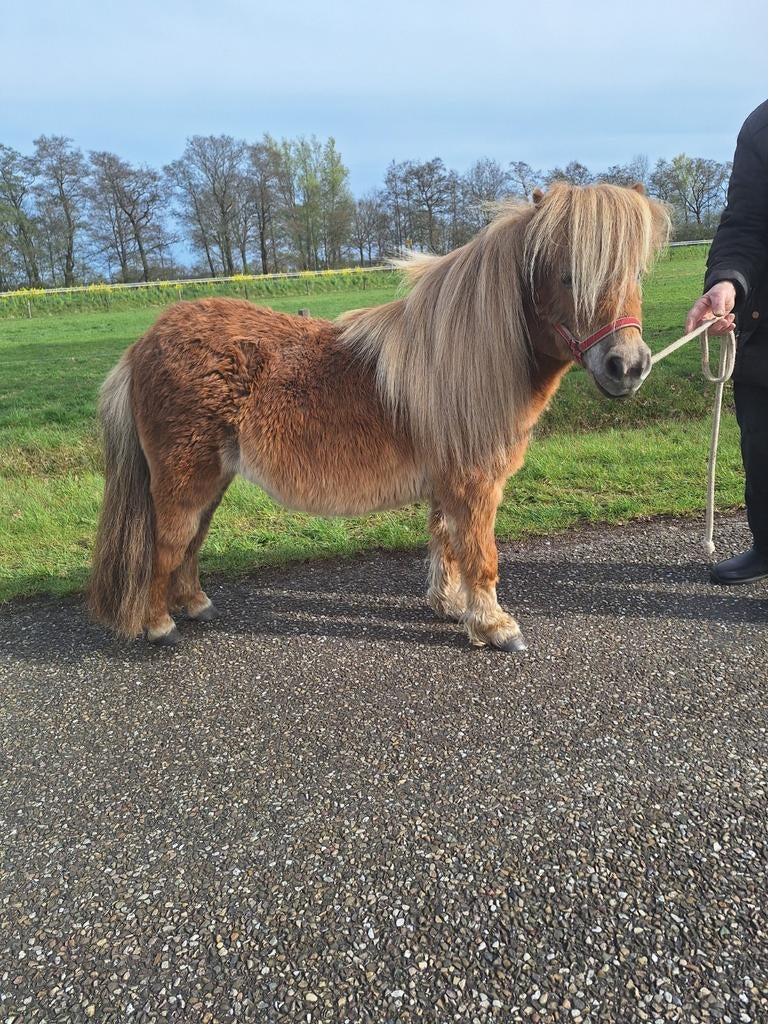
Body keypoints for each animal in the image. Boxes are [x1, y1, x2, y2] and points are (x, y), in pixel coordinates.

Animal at [89, 182, 670, 651]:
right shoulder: (476, 485)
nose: (628, 366)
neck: (464, 358)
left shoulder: (448, 484)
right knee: (168, 543)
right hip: (185, 481)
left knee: (190, 543)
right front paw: (496, 627)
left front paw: (451, 607)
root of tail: (143, 344)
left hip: (212, 480)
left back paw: (194, 604)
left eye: (637, 274)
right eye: (570, 276)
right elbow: (481, 554)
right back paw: (160, 624)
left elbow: (446, 543)